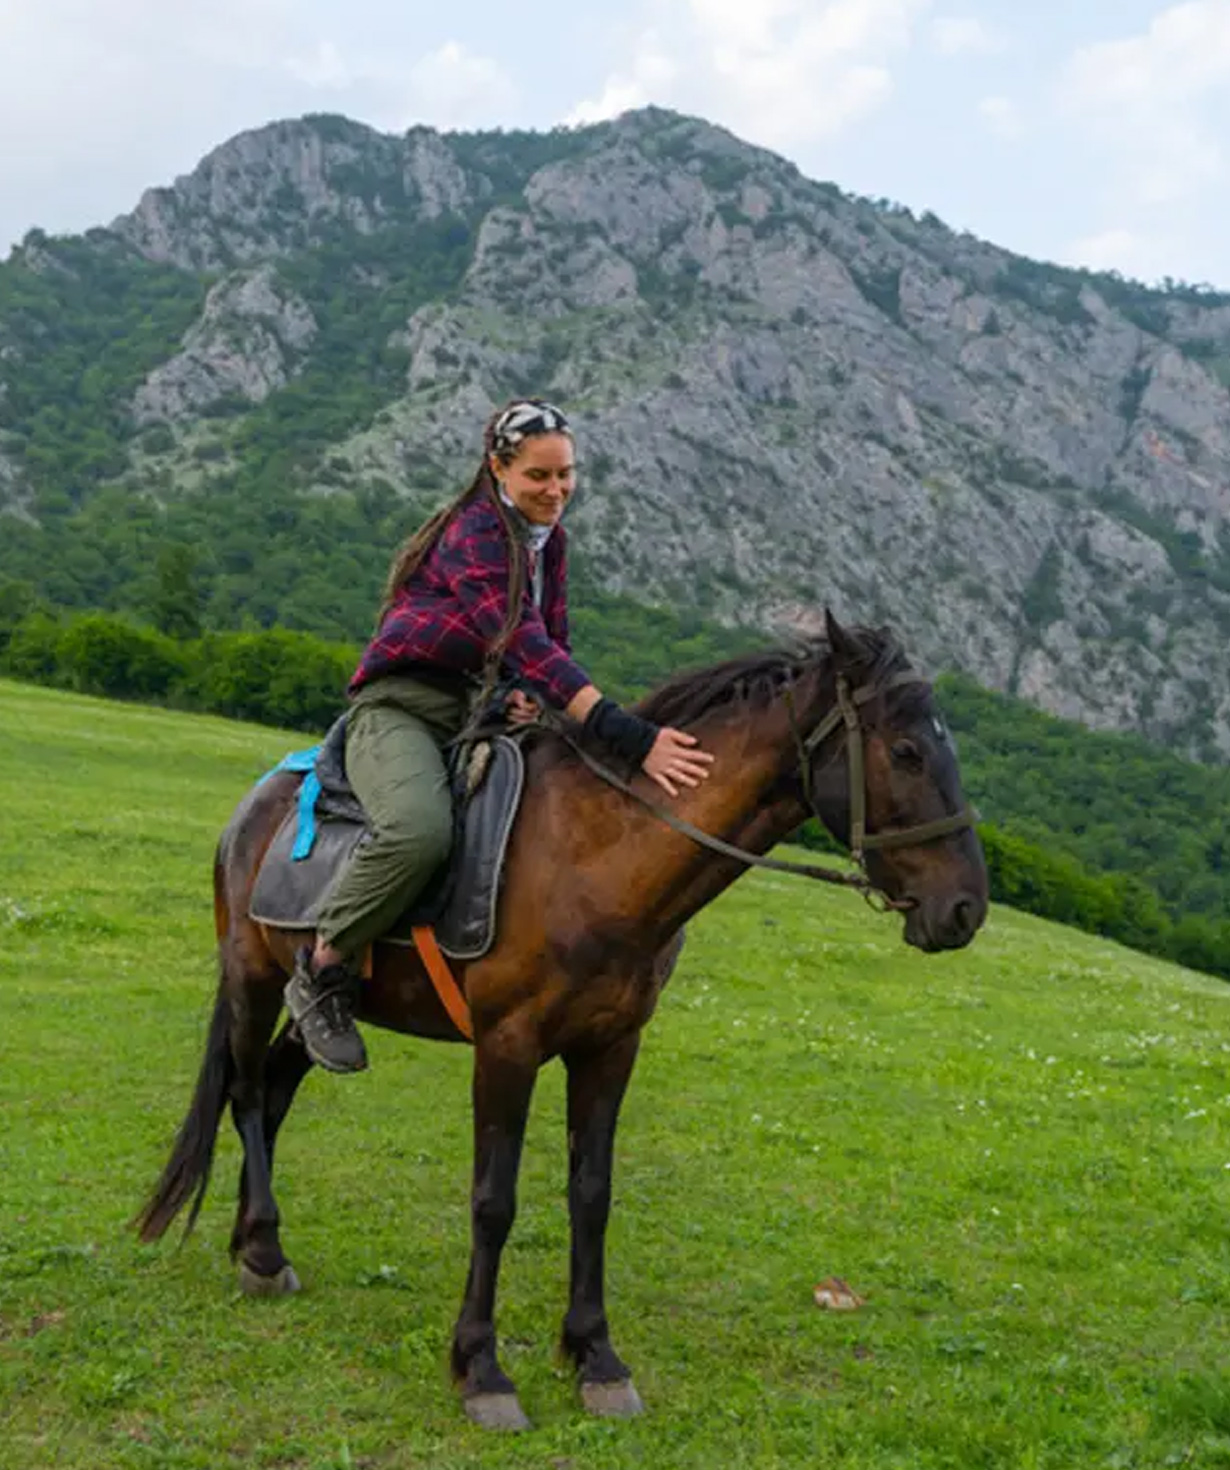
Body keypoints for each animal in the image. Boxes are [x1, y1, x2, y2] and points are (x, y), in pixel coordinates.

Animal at [135, 613, 987, 1431]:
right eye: (907, 750)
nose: (966, 908)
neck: (599, 857)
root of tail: (255, 808)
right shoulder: (507, 1048)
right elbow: (494, 1200)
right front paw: (481, 1370)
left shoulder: (610, 1049)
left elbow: (592, 1194)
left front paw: (595, 1358)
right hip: (253, 981)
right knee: (248, 1095)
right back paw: (261, 1247)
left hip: (321, 1012)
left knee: (279, 1086)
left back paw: (257, 1245)